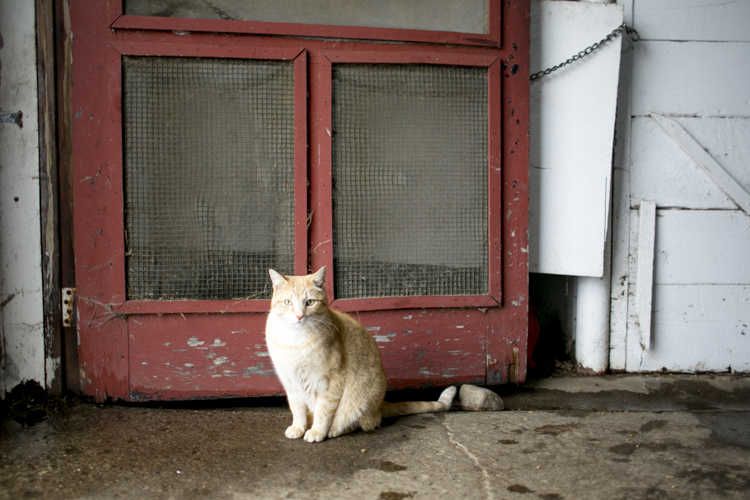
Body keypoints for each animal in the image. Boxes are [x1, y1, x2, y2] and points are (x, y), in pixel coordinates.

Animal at [268, 268, 462, 444]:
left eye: (310, 302)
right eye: (288, 302)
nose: (299, 316)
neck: (295, 342)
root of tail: (380, 403)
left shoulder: (329, 384)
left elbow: (323, 412)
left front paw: (317, 431)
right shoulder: (291, 383)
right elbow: (297, 410)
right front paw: (298, 427)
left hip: (362, 401)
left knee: (361, 421)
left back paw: (335, 429)